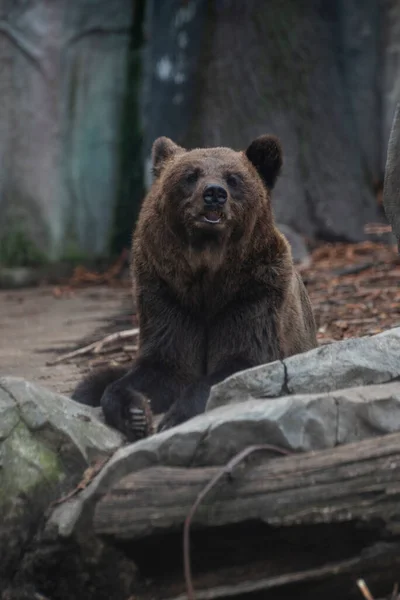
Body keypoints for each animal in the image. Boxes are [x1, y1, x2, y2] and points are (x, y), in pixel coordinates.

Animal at [71, 135, 316, 440]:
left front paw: (175, 417)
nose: (214, 193)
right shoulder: (167, 294)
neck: (208, 275)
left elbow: (241, 360)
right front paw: (135, 413)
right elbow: (162, 366)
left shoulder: (254, 293)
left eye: (233, 178)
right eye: (190, 175)